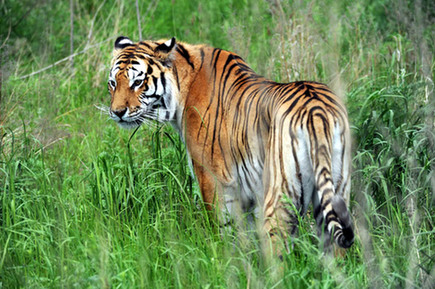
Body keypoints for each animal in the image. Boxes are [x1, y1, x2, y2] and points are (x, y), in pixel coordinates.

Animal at [108, 35, 354, 254]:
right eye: (113, 83)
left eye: (137, 82)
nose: (117, 112)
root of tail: (316, 112)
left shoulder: (212, 177)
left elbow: (224, 228)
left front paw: (225, 261)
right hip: (337, 191)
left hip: (280, 195)